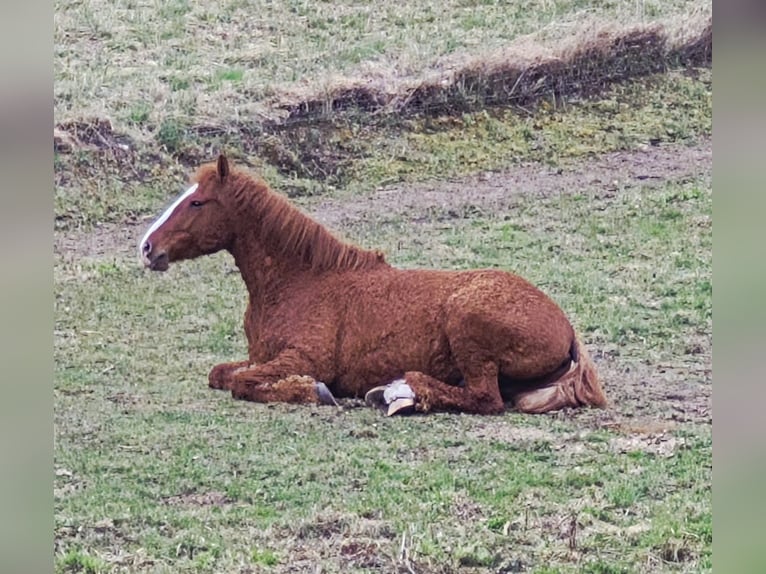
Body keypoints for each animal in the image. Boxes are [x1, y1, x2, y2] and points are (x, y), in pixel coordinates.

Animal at [139, 155, 607, 415]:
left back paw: (400, 392)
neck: (300, 283)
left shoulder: (303, 358)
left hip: (469, 326)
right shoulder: (259, 357)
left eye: (197, 202)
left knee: (484, 399)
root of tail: (566, 328)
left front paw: (313, 392)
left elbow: (243, 384)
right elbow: (221, 374)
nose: (147, 248)